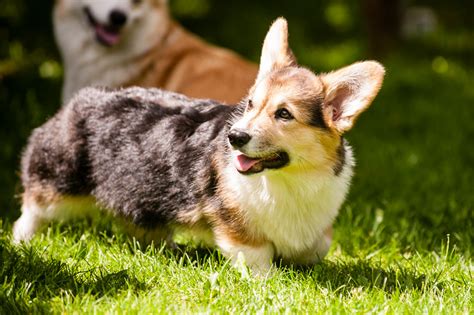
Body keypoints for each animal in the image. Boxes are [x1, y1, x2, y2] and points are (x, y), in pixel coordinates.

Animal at [13, 18, 386, 276]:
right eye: (250, 104)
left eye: (284, 114)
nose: (235, 137)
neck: (287, 179)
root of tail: (83, 98)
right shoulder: (235, 226)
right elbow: (257, 256)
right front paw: (269, 281)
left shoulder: (315, 226)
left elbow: (318, 245)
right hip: (58, 180)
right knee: (33, 207)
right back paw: (21, 240)